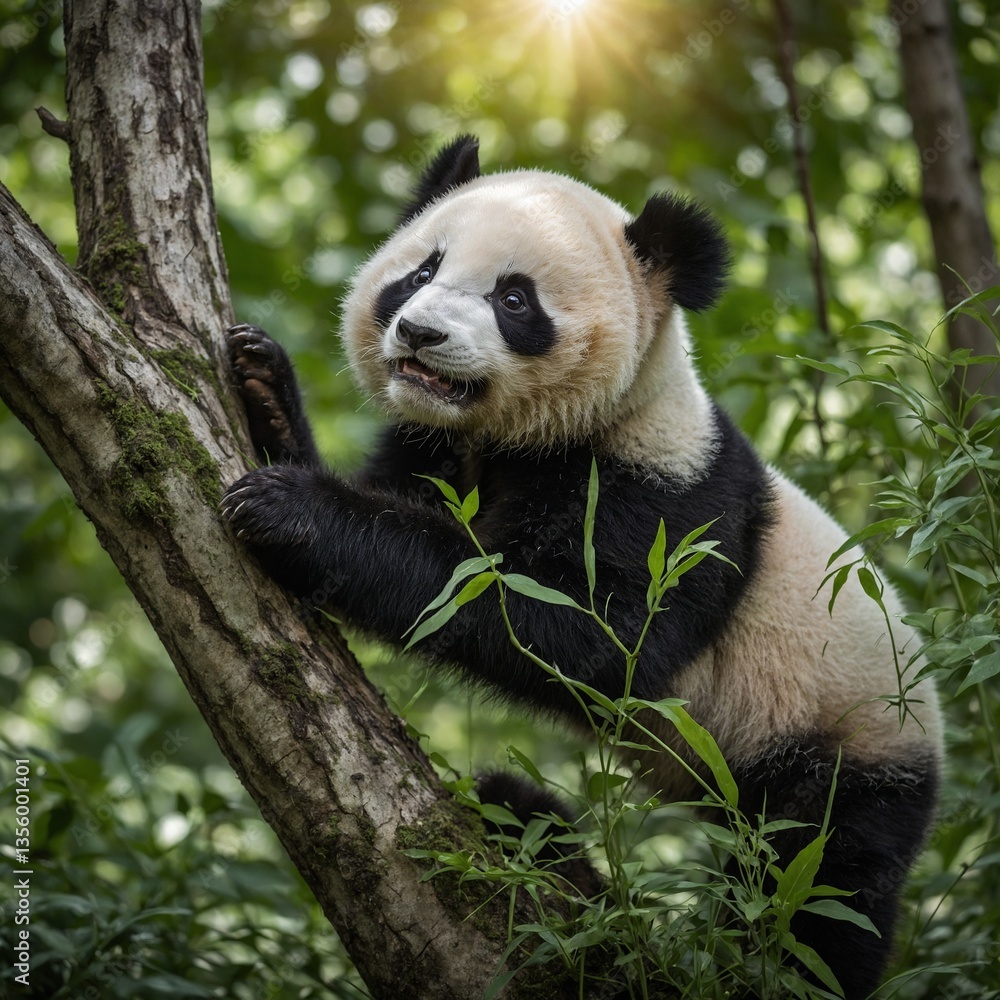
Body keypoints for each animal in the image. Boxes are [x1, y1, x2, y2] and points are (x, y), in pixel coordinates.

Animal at [221, 135, 942, 999]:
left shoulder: (664, 500)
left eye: (514, 300)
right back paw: (522, 823)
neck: (518, 440)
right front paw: (264, 388)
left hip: (839, 741)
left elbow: (575, 629)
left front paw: (292, 512)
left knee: (819, 889)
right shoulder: (436, 449)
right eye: (421, 272)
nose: (419, 333)